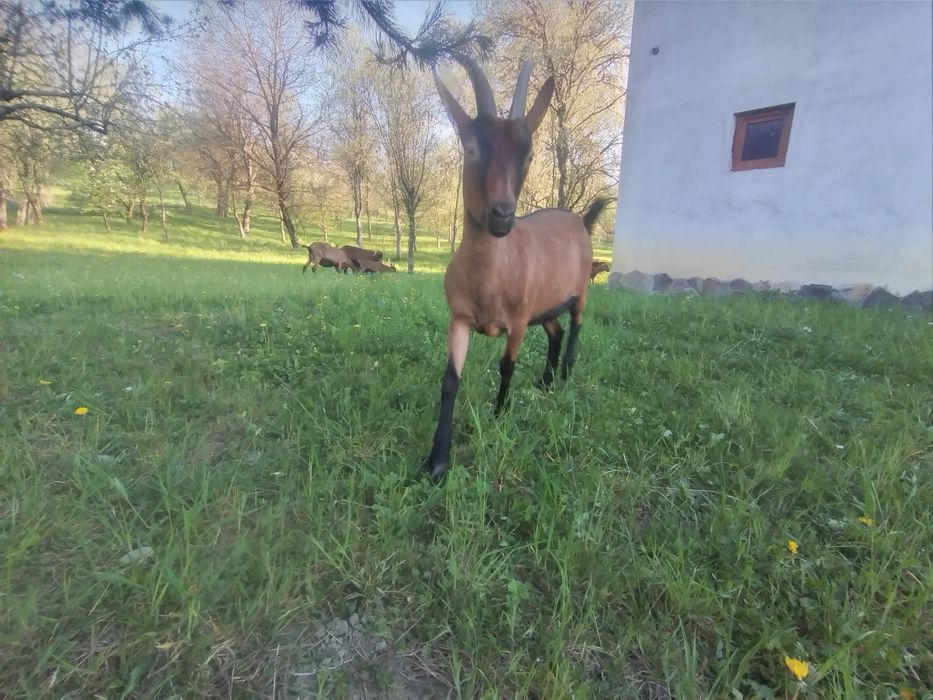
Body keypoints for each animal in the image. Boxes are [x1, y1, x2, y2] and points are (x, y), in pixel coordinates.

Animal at [425, 57, 612, 479]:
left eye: (528, 155)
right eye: (471, 147)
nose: (502, 216)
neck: (488, 281)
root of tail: (580, 219)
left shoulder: (518, 322)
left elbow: (506, 366)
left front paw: (498, 416)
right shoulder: (459, 319)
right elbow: (449, 381)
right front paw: (437, 461)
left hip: (579, 292)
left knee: (575, 328)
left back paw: (563, 378)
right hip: (545, 305)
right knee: (556, 331)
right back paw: (544, 382)